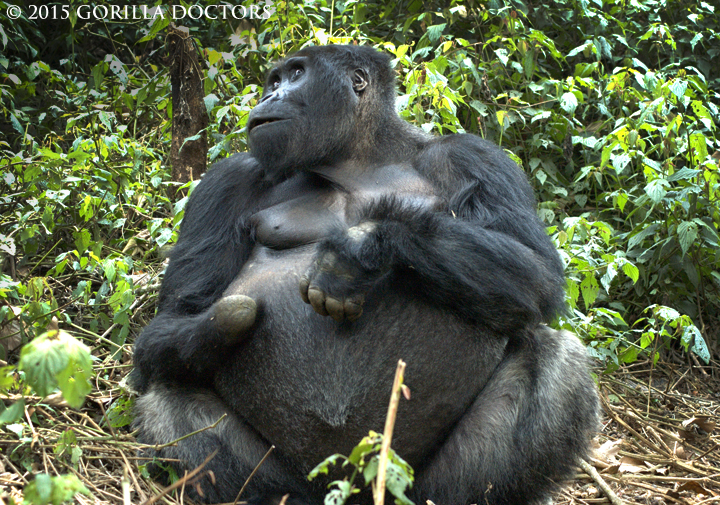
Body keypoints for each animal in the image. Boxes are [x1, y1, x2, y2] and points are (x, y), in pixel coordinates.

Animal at [132, 44, 600, 504]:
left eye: (296, 75)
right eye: (273, 80)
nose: (267, 97)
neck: (356, 158)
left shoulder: (474, 155)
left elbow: (534, 272)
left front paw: (358, 250)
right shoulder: (228, 179)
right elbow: (178, 314)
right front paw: (227, 321)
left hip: (412, 483)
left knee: (559, 356)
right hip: (303, 479)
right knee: (166, 384)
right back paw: (268, 496)